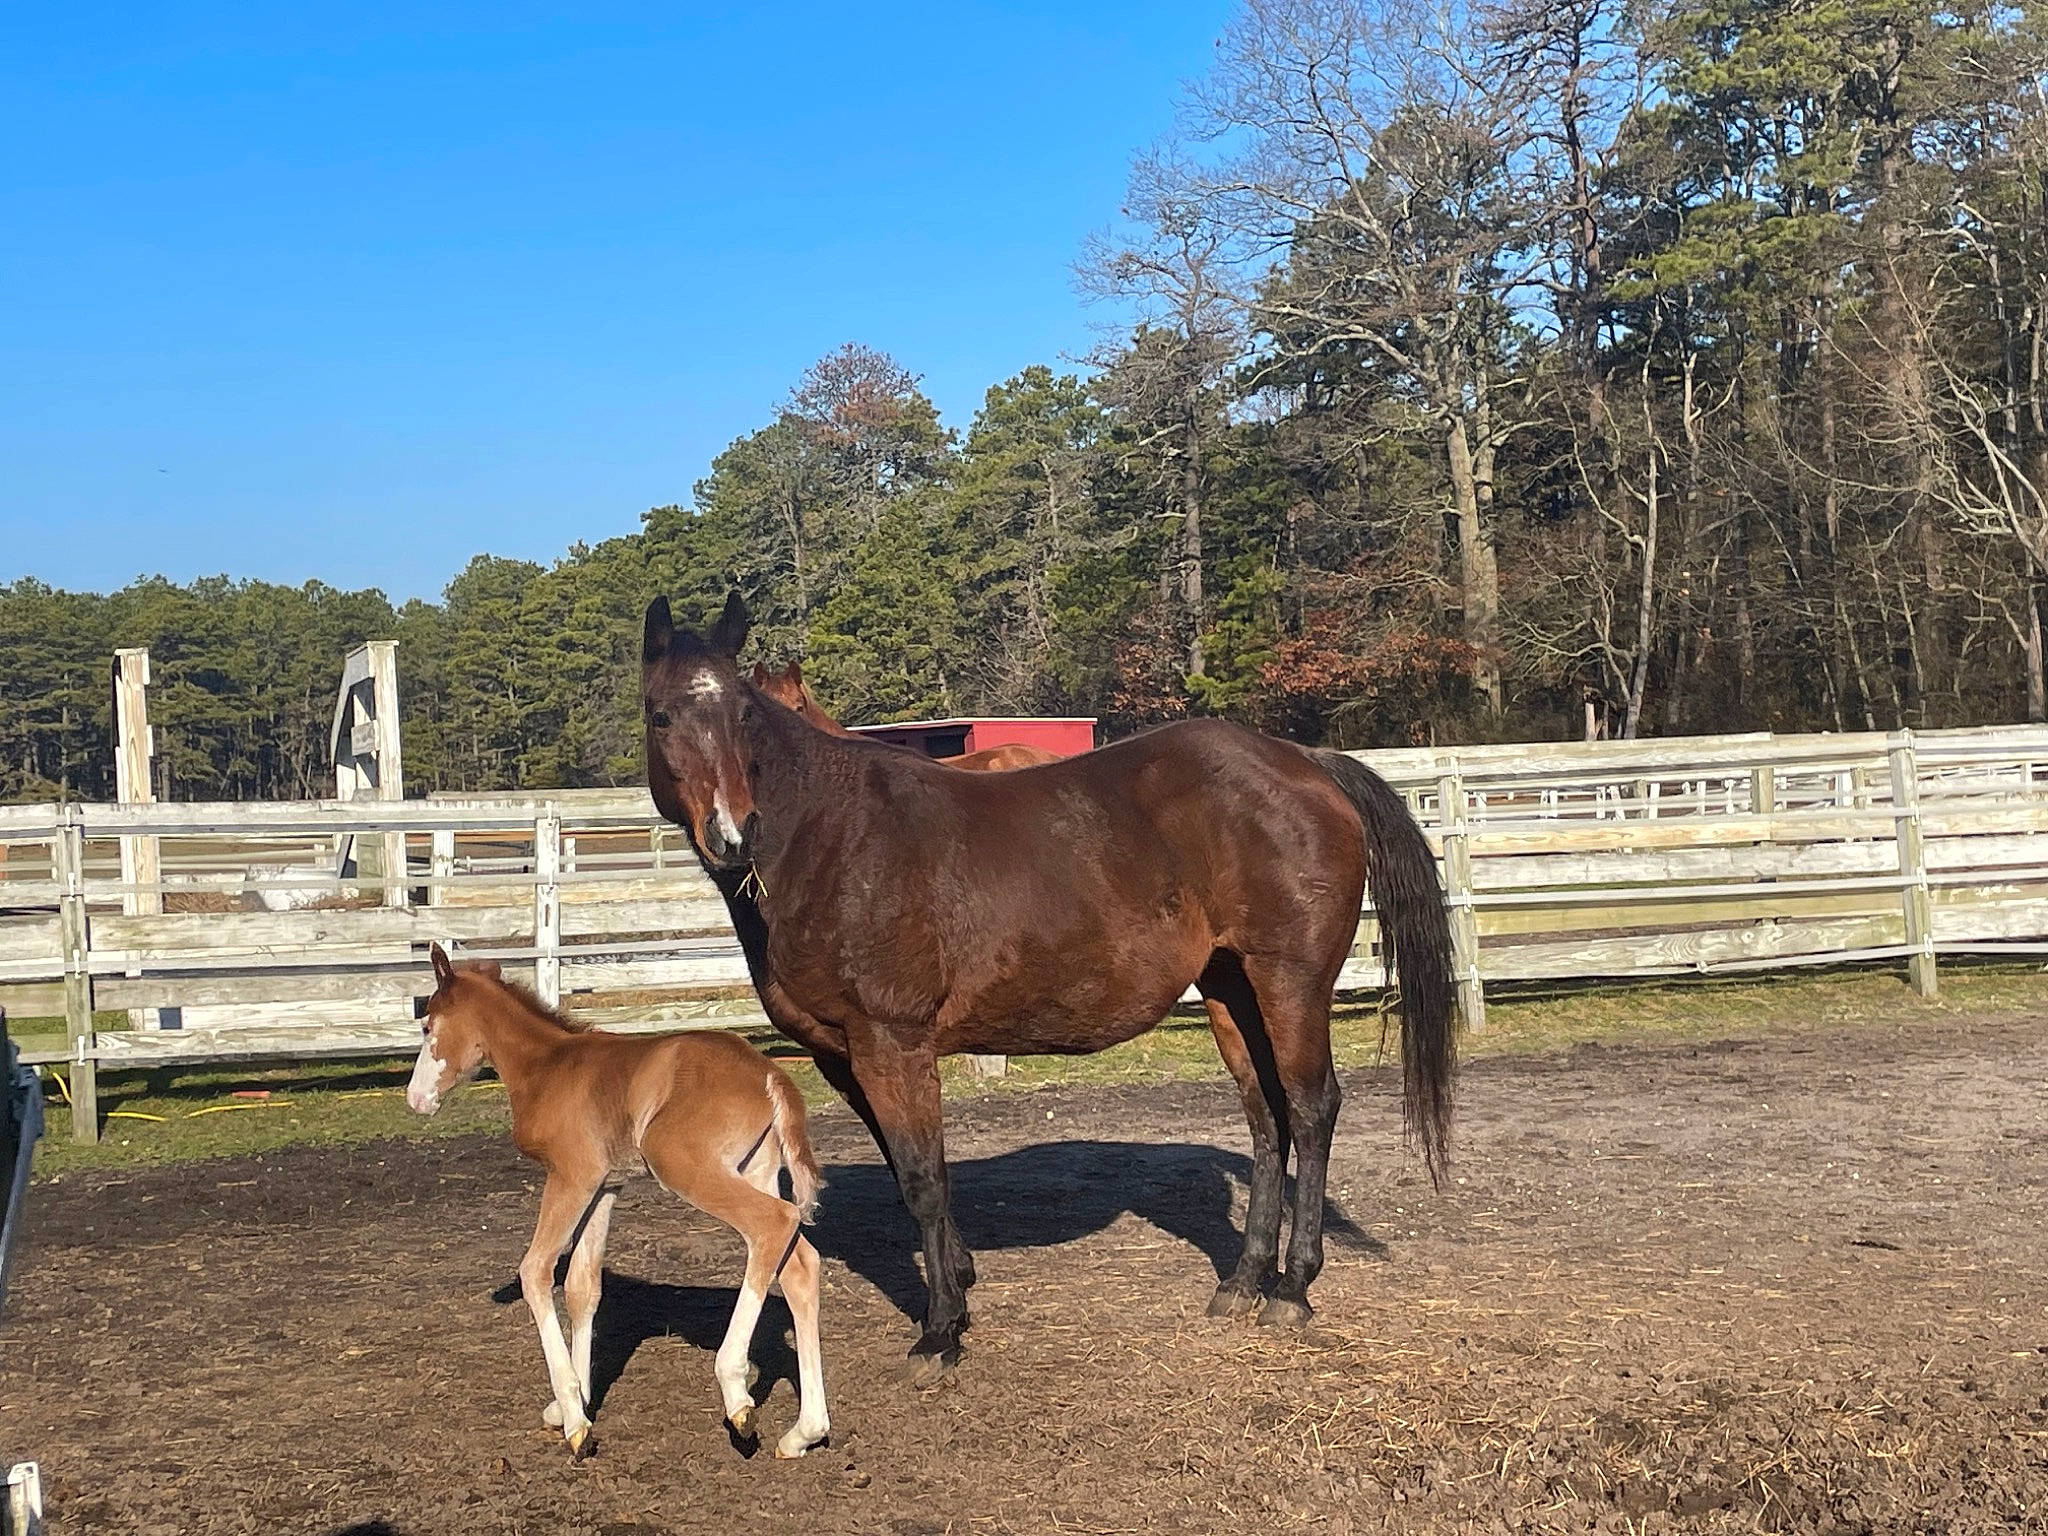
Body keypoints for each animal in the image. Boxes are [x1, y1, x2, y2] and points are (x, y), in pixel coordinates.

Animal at [405, 941, 832, 1460]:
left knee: (772, 1224)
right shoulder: (605, 1186)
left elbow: (536, 1271)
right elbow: (582, 1286)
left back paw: (736, 1394)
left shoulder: (571, 1177)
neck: (547, 1066)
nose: (415, 1099)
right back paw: (804, 1431)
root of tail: (770, 1073)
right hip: (757, 1168)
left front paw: (574, 1419)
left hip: (684, 1166)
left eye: (427, 1027)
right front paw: (575, 1401)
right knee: (799, 1265)